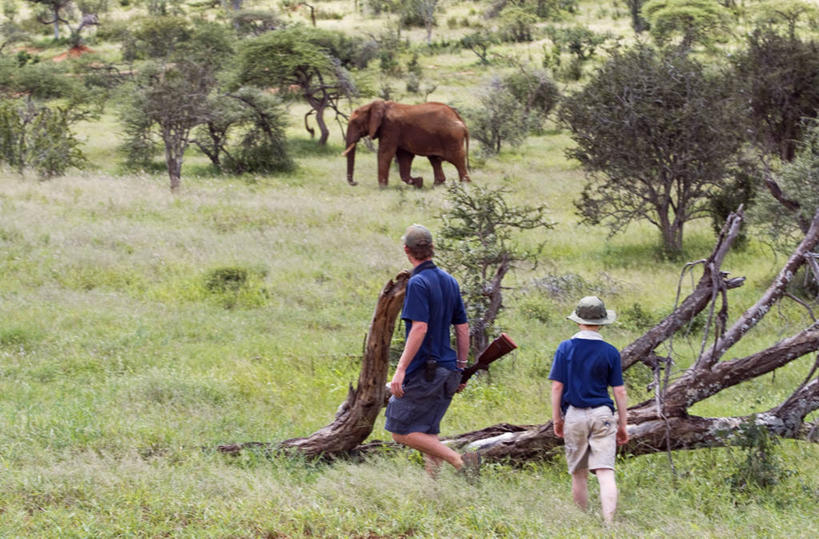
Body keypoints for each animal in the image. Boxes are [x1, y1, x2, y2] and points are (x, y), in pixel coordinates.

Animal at [340, 100, 468, 189]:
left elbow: (385, 153)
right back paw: (436, 186)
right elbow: (404, 157)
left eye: (355, 122)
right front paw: (419, 182)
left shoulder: (390, 128)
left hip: (452, 138)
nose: (355, 183)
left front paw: (382, 188)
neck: (380, 105)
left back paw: (465, 185)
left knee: (457, 159)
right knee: (434, 160)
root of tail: (460, 120)